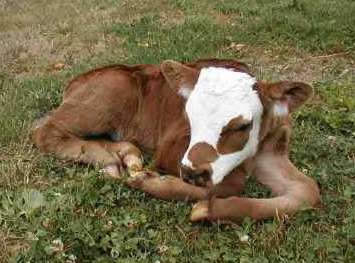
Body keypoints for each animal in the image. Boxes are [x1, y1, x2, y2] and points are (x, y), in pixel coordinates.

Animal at [32, 58, 322, 223]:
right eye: (188, 115)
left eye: (244, 125)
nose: (193, 172)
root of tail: (75, 81)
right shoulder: (170, 148)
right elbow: (234, 183)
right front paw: (158, 184)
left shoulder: (271, 152)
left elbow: (309, 190)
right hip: (110, 91)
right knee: (45, 130)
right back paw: (110, 158)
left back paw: (124, 155)